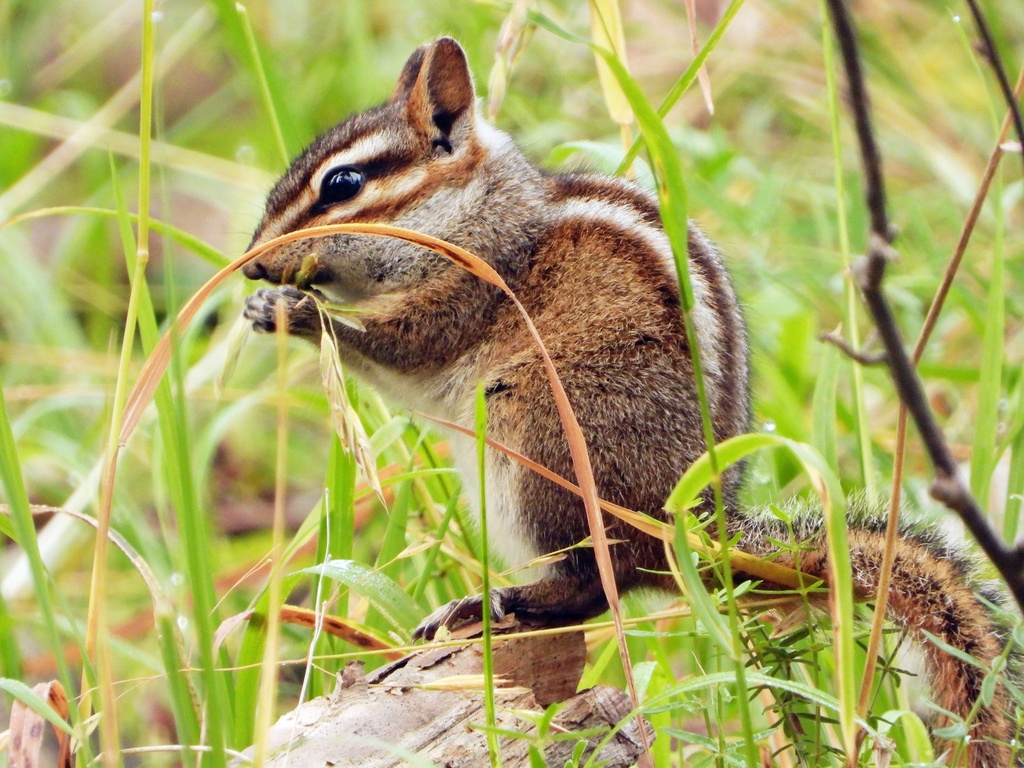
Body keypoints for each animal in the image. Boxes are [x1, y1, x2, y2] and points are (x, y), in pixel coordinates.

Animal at [241, 38, 1019, 765]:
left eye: (342, 183)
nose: (251, 265)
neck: (471, 212)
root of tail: (696, 528)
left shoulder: (467, 292)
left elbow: (398, 347)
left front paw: (296, 313)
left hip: (536, 436)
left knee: (596, 581)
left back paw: (496, 601)